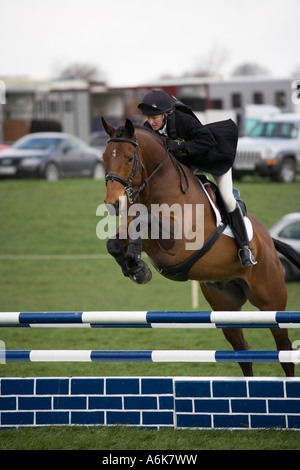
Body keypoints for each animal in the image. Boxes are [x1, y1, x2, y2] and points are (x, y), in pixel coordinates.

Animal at [101, 118, 300, 378]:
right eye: (104, 157)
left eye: (128, 158)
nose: (112, 203)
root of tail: (267, 240)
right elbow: (116, 241)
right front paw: (136, 269)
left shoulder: (177, 241)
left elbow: (143, 218)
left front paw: (137, 263)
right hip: (225, 307)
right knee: (243, 353)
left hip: (271, 303)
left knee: (284, 350)